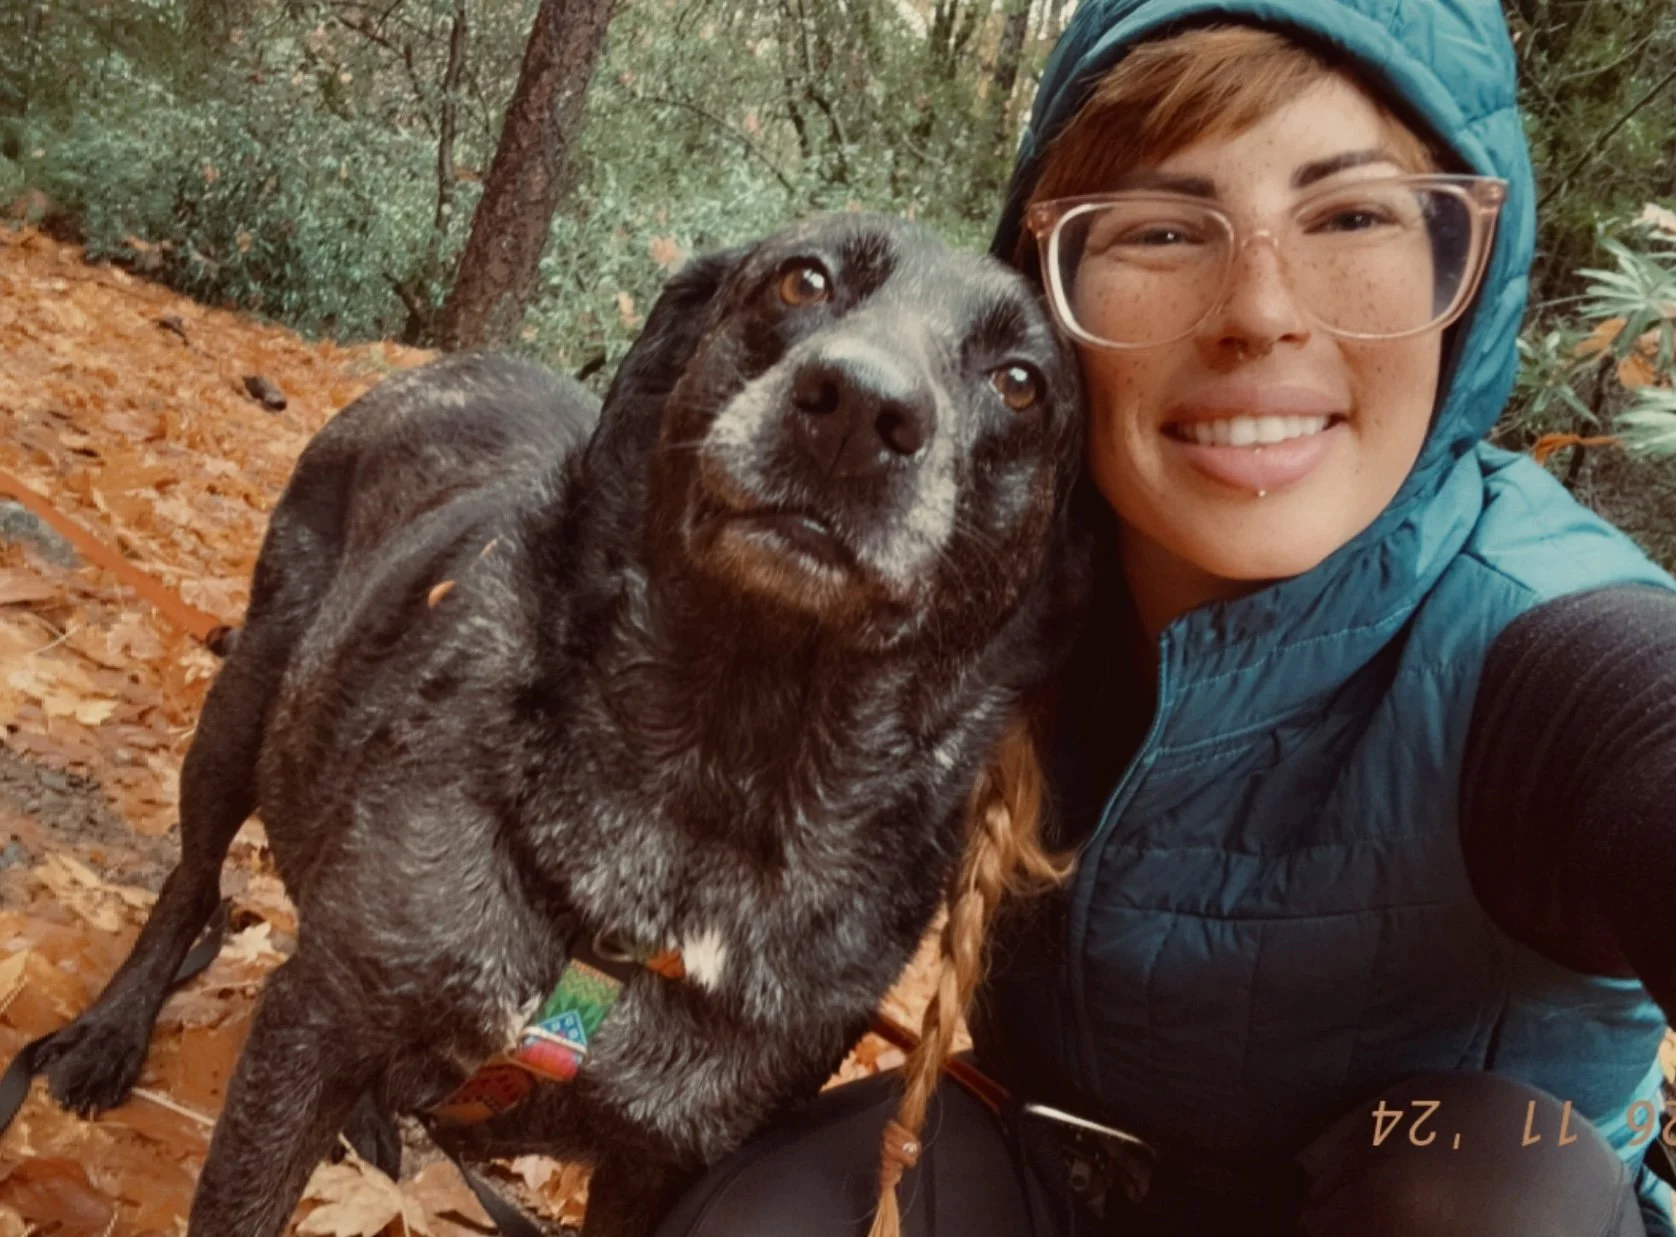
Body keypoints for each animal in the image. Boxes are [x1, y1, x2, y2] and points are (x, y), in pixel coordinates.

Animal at [32, 212, 1087, 1236]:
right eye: (804, 279)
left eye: (1021, 382)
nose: (862, 407)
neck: (717, 782)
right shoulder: (312, 1026)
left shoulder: (659, 1163)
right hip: (245, 701)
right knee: (190, 883)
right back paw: (109, 1033)